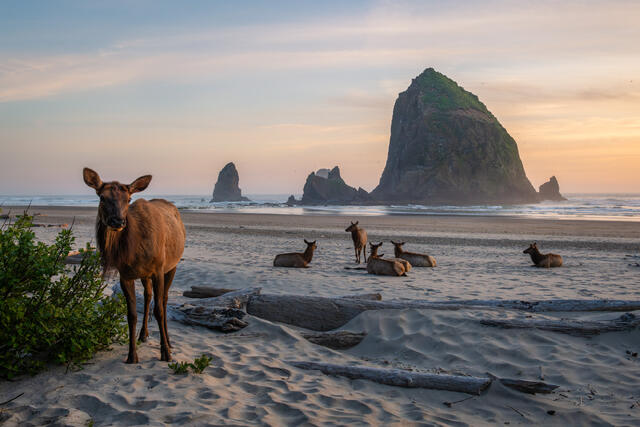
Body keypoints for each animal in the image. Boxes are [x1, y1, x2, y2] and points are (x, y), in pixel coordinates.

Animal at [83, 168, 185, 363]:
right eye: (102, 197)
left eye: (128, 199)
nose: (117, 221)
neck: (134, 249)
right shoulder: (125, 275)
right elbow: (131, 315)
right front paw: (132, 355)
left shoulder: (159, 269)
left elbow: (159, 310)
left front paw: (165, 353)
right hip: (145, 275)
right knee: (147, 296)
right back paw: (143, 334)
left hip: (172, 265)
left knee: (164, 300)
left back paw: (169, 341)